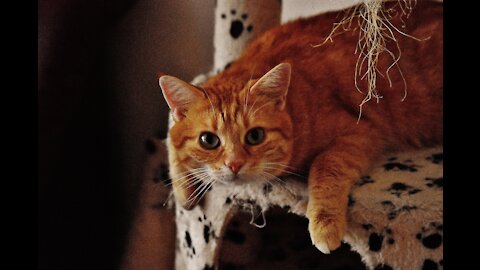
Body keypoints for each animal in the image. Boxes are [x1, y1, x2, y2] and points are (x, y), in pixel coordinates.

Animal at [158, 2, 442, 254]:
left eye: (255, 136)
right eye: (209, 140)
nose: (235, 164)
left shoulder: (361, 134)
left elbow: (325, 165)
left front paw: (324, 225)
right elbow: (171, 139)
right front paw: (184, 193)